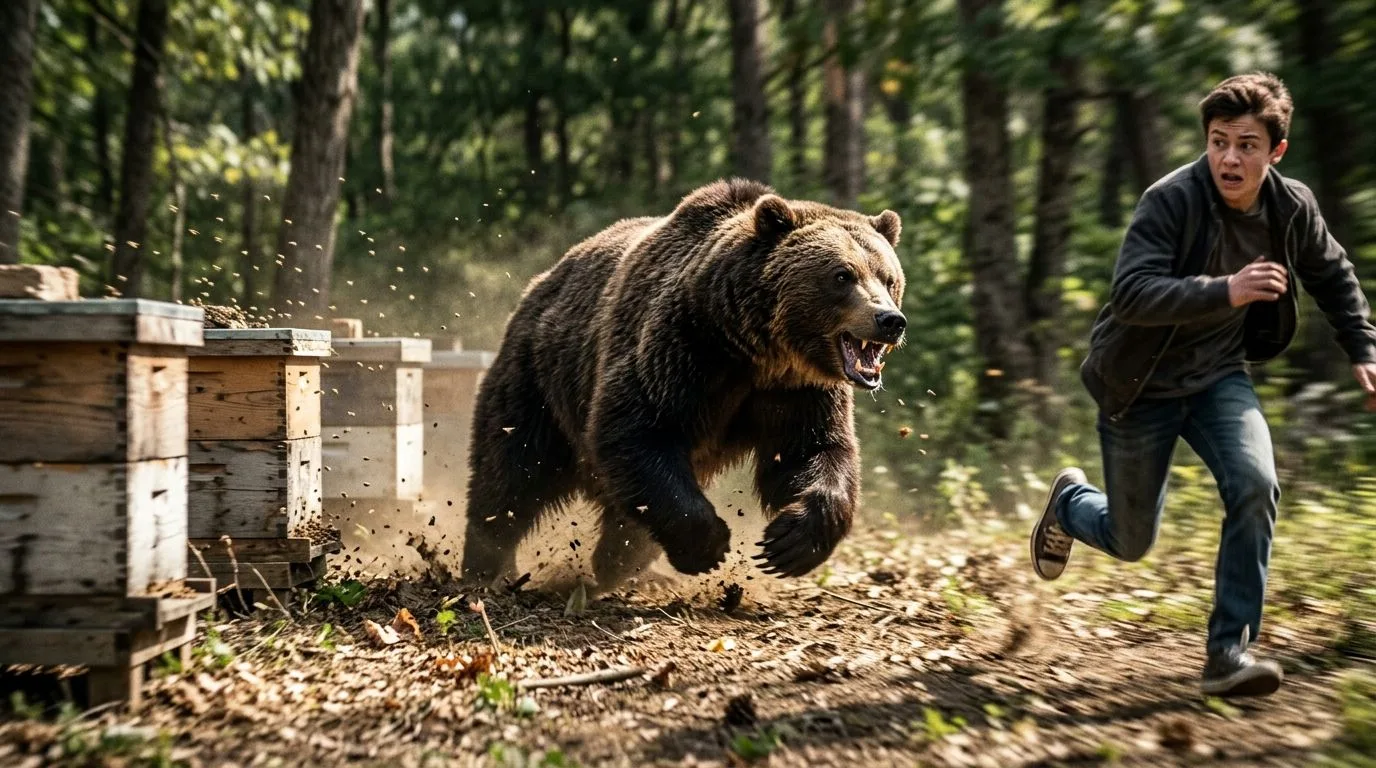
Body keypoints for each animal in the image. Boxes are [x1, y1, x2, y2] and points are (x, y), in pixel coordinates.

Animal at [460, 179, 907, 590]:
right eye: (842, 275)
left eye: (888, 278)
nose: (890, 320)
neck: (758, 352)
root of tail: (542, 280)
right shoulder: (684, 350)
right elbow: (639, 430)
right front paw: (709, 545)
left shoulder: (798, 391)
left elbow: (812, 450)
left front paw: (790, 543)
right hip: (540, 376)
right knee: (511, 470)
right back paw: (486, 567)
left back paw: (616, 566)